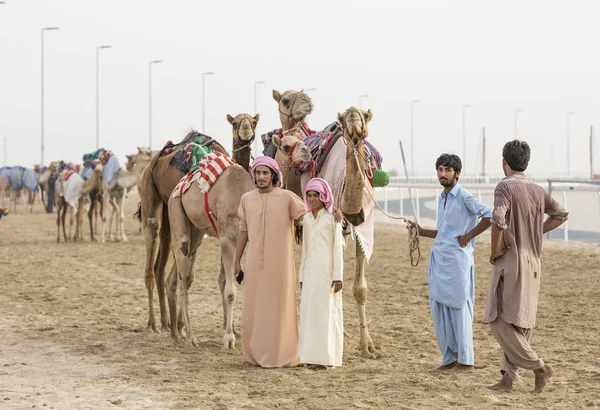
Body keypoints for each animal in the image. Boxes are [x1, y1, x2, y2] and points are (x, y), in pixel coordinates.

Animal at [168, 162, 254, 348]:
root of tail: (177, 187)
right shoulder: (227, 239)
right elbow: (230, 291)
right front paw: (229, 338)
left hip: (196, 233)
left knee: (180, 277)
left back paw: (179, 334)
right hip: (176, 211)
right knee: (182, 282)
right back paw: (190, 337)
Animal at [316, 106, 382, 358]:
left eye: (366, 118)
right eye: (344, 120)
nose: (355, 124)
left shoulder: (363, 229)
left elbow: (359, 288)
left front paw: (368, 346)